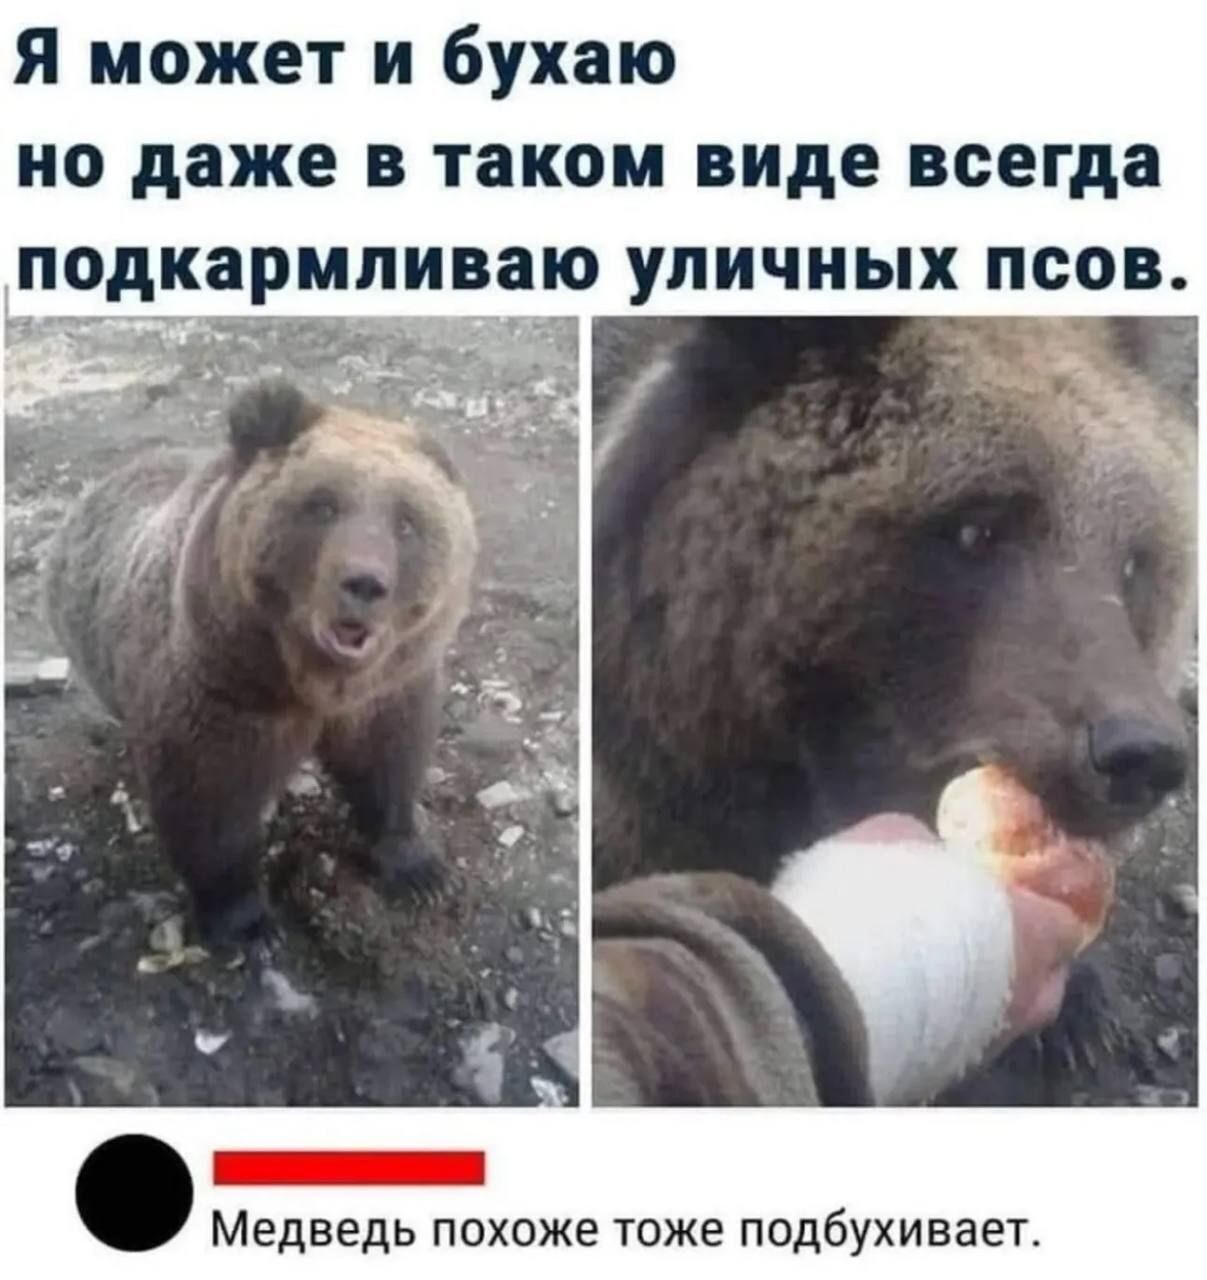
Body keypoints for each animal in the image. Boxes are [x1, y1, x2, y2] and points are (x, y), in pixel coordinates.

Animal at [44, 378, 478, 944]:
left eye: (407, 521)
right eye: (322, 504)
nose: (364, 584)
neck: (308, 680)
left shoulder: (388, 689)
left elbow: (390, 765)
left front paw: (421, 871)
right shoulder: (224, 692)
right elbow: (212, 810)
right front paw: (246, 924)